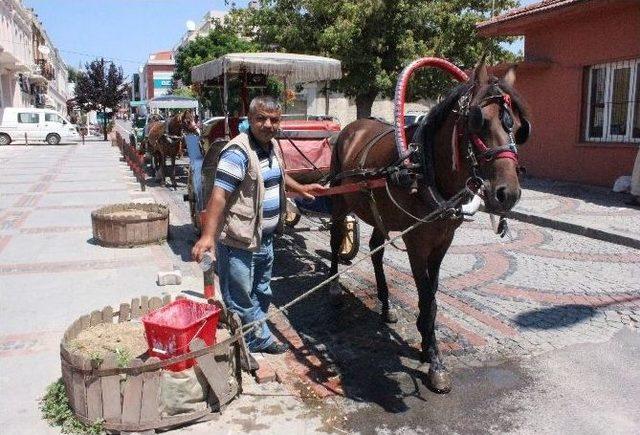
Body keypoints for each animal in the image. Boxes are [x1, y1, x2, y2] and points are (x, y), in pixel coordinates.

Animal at [330, 63, 528, 396]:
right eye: (479, 122)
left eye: (515, 125)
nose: (508, 194)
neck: (424, 168)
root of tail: (350, 128)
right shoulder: (417, 243)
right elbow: (426, 296)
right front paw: (434, 361)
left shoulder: (442, 241)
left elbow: (432, 295)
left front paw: (426, 344)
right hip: (339, 201)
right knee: (335, 241)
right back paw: (332, 284)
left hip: (380, 214)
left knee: (375, 252)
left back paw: (386, 305)